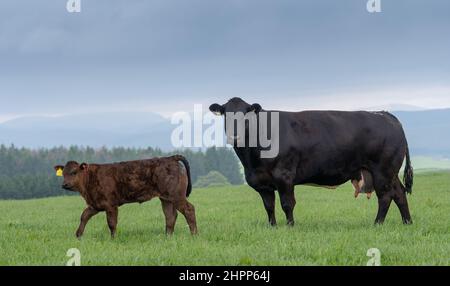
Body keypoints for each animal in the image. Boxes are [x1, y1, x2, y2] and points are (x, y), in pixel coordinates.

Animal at [53, 155, 197, 238]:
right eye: (63, 173)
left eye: (74, 172)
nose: (64, 184)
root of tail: (170, 158)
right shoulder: (95, 204)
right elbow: (84, 216)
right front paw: (78, 235)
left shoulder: (110, 204)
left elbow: (111, 223)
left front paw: (113, 239)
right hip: (166, 198)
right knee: (170, 216)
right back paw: (168, 237)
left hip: (177, 196)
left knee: (189, 209)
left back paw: (194, 235)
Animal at [209, 98, 414, 226]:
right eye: (226, 114)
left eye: (246, 115)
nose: (234, 133)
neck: (252, 161)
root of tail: (384, 114)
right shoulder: (262, 182)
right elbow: (269, 206)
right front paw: (272, 227)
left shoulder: (284, 176)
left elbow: (287, 204)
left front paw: (290, 226)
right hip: (388, 172)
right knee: (399, 193)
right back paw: (407, 222)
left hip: (382, 170)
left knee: (386, 196)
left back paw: (377, 223)